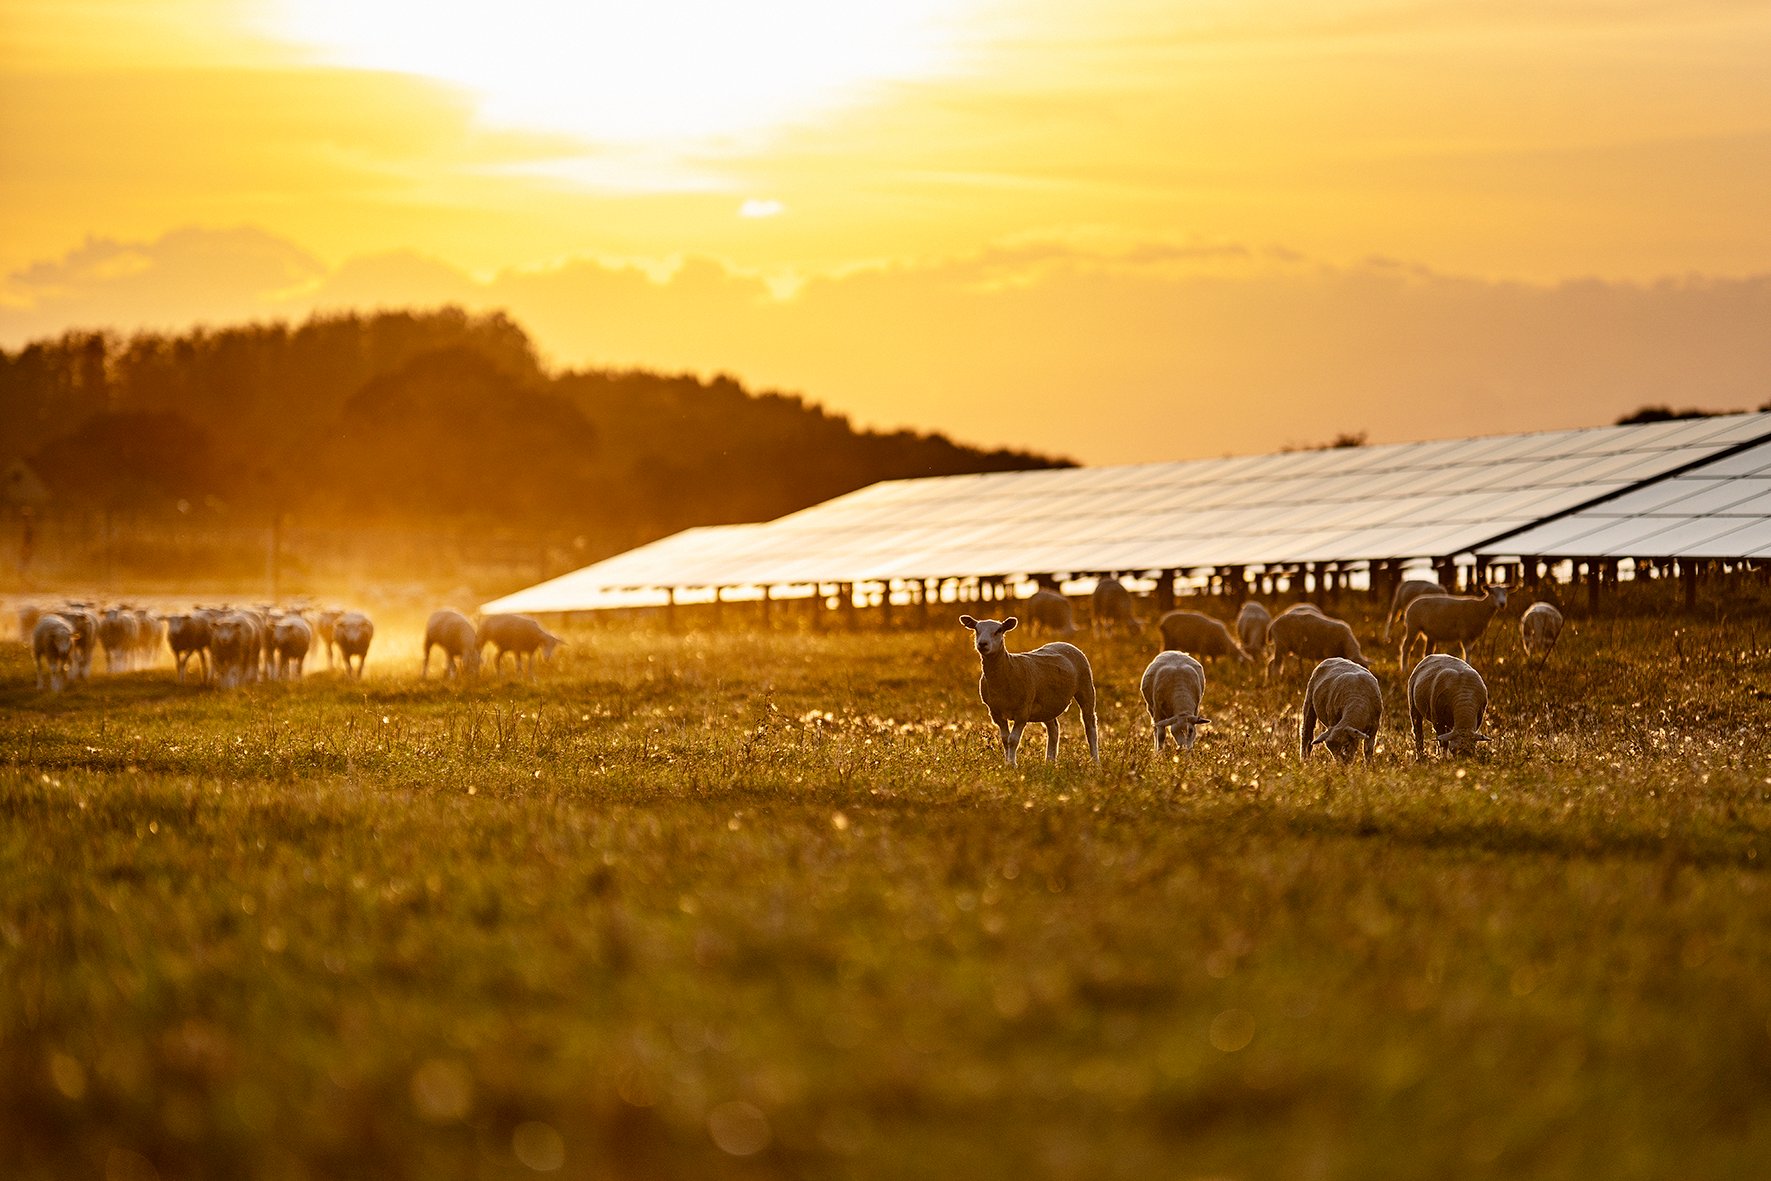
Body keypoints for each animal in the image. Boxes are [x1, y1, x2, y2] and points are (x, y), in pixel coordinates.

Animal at [963, 616, 1098, 771]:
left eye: (999, 630)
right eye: (976, 629)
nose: (982, 644)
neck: (1008, 668)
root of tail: (1064, 643)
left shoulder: (1023, 711)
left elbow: (1013, 740)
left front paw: (1012, 764)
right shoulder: (995, 712)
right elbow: (1005, 739)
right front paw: (1007, 763)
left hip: (1086, 686)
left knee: (1090, 725)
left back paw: (1096, 762)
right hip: (1047, 703)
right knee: (1054, 729)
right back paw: (1049, 762)